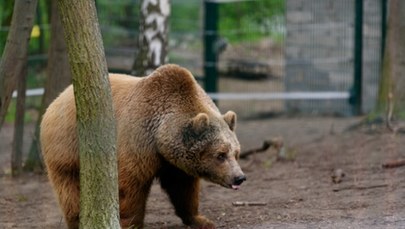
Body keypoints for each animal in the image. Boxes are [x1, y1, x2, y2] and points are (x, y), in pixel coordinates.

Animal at [40, 63, 246, 228]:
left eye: (236, 153)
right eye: (220, 154)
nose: (239, 177)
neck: (160, 137)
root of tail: (59, 97)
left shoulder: (175, 163)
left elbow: (184, 188)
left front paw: (200, 219)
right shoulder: (137, 141)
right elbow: (130, 185)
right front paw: (131, 223)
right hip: (67, 144)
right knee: (69, 187)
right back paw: (77, 219)